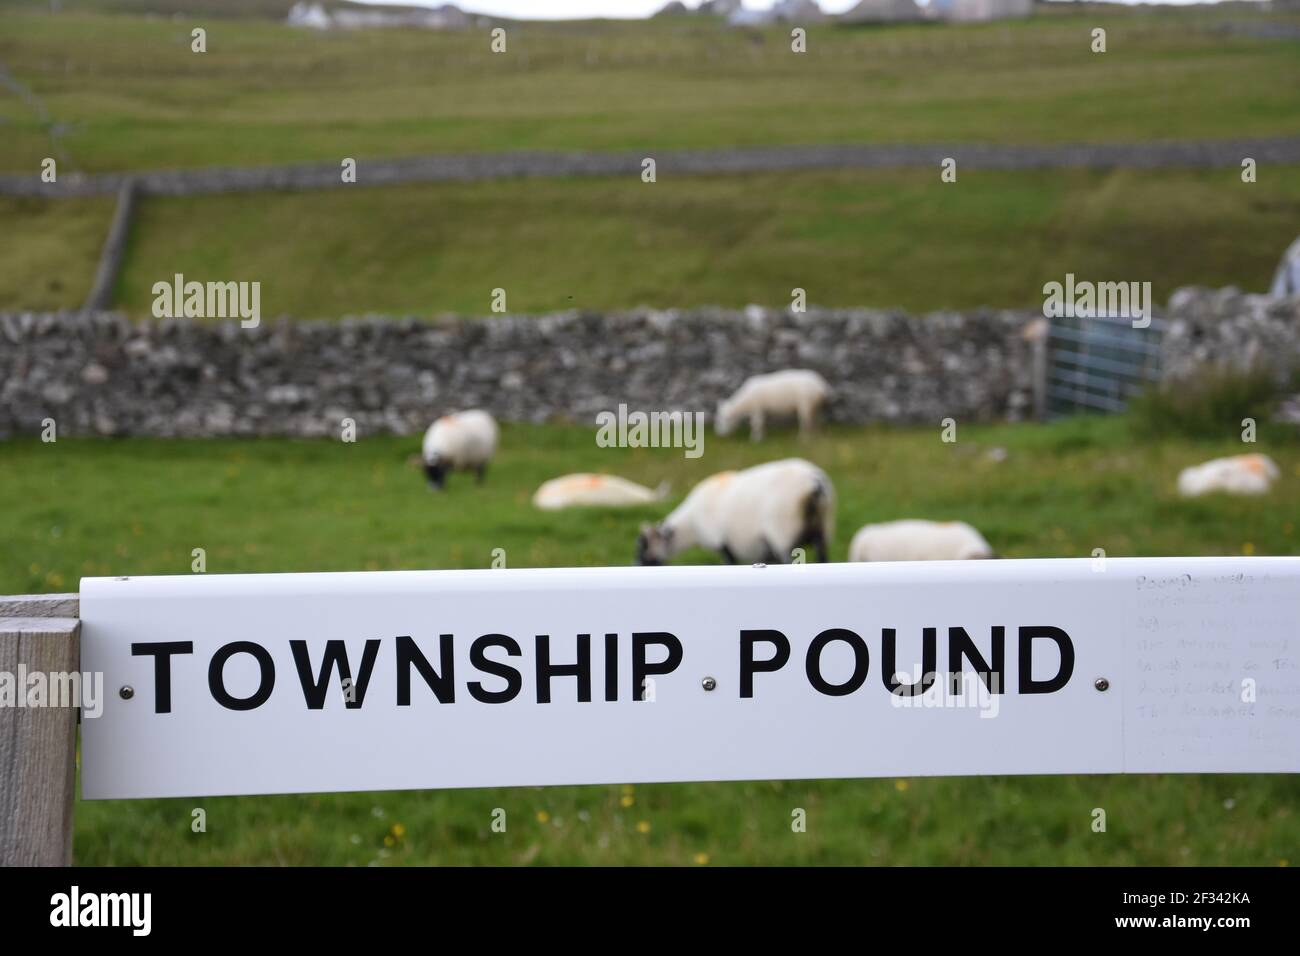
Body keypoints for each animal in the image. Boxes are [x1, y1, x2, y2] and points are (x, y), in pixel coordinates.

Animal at [637, 460, 832, 564]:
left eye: (644, 546)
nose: (636, 565)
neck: (690, 526)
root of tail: (814, 483)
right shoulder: (765, 550)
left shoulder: (722, 544)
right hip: (822, 529)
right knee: (823, 559)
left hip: (784, 536)